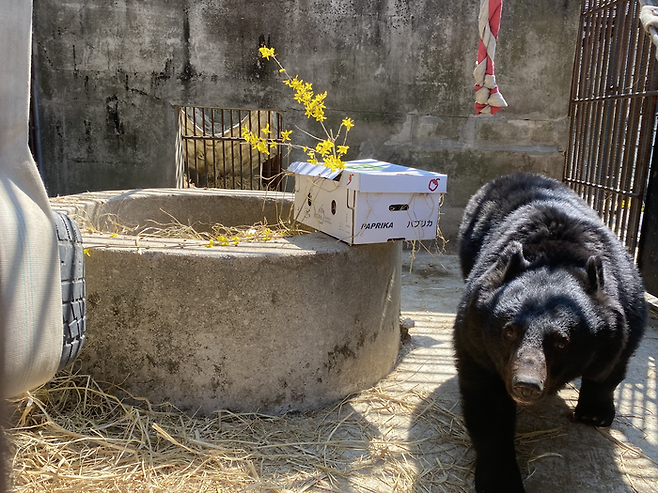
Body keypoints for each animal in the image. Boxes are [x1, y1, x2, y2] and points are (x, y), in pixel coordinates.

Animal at [454, 173, 644, 492]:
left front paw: (595, 412)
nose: (526, 384)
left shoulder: (626, 309)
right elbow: (487, 402)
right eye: (508, 331)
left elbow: (611, 367)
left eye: (561, 343)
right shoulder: (474, 332)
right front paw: (500, 479)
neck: (558, 254)